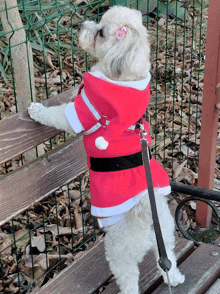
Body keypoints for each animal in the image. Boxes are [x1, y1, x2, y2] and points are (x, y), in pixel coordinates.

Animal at [28, 5, 185, 292]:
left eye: (101, 32)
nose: (79, 25)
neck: (126, 79)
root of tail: (148, 221)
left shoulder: (86, 109)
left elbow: (59, 115)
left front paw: (37, 110)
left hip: (120, 251)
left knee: (128, 278)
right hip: (167, 237)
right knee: (168, 263)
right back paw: (175, 278)